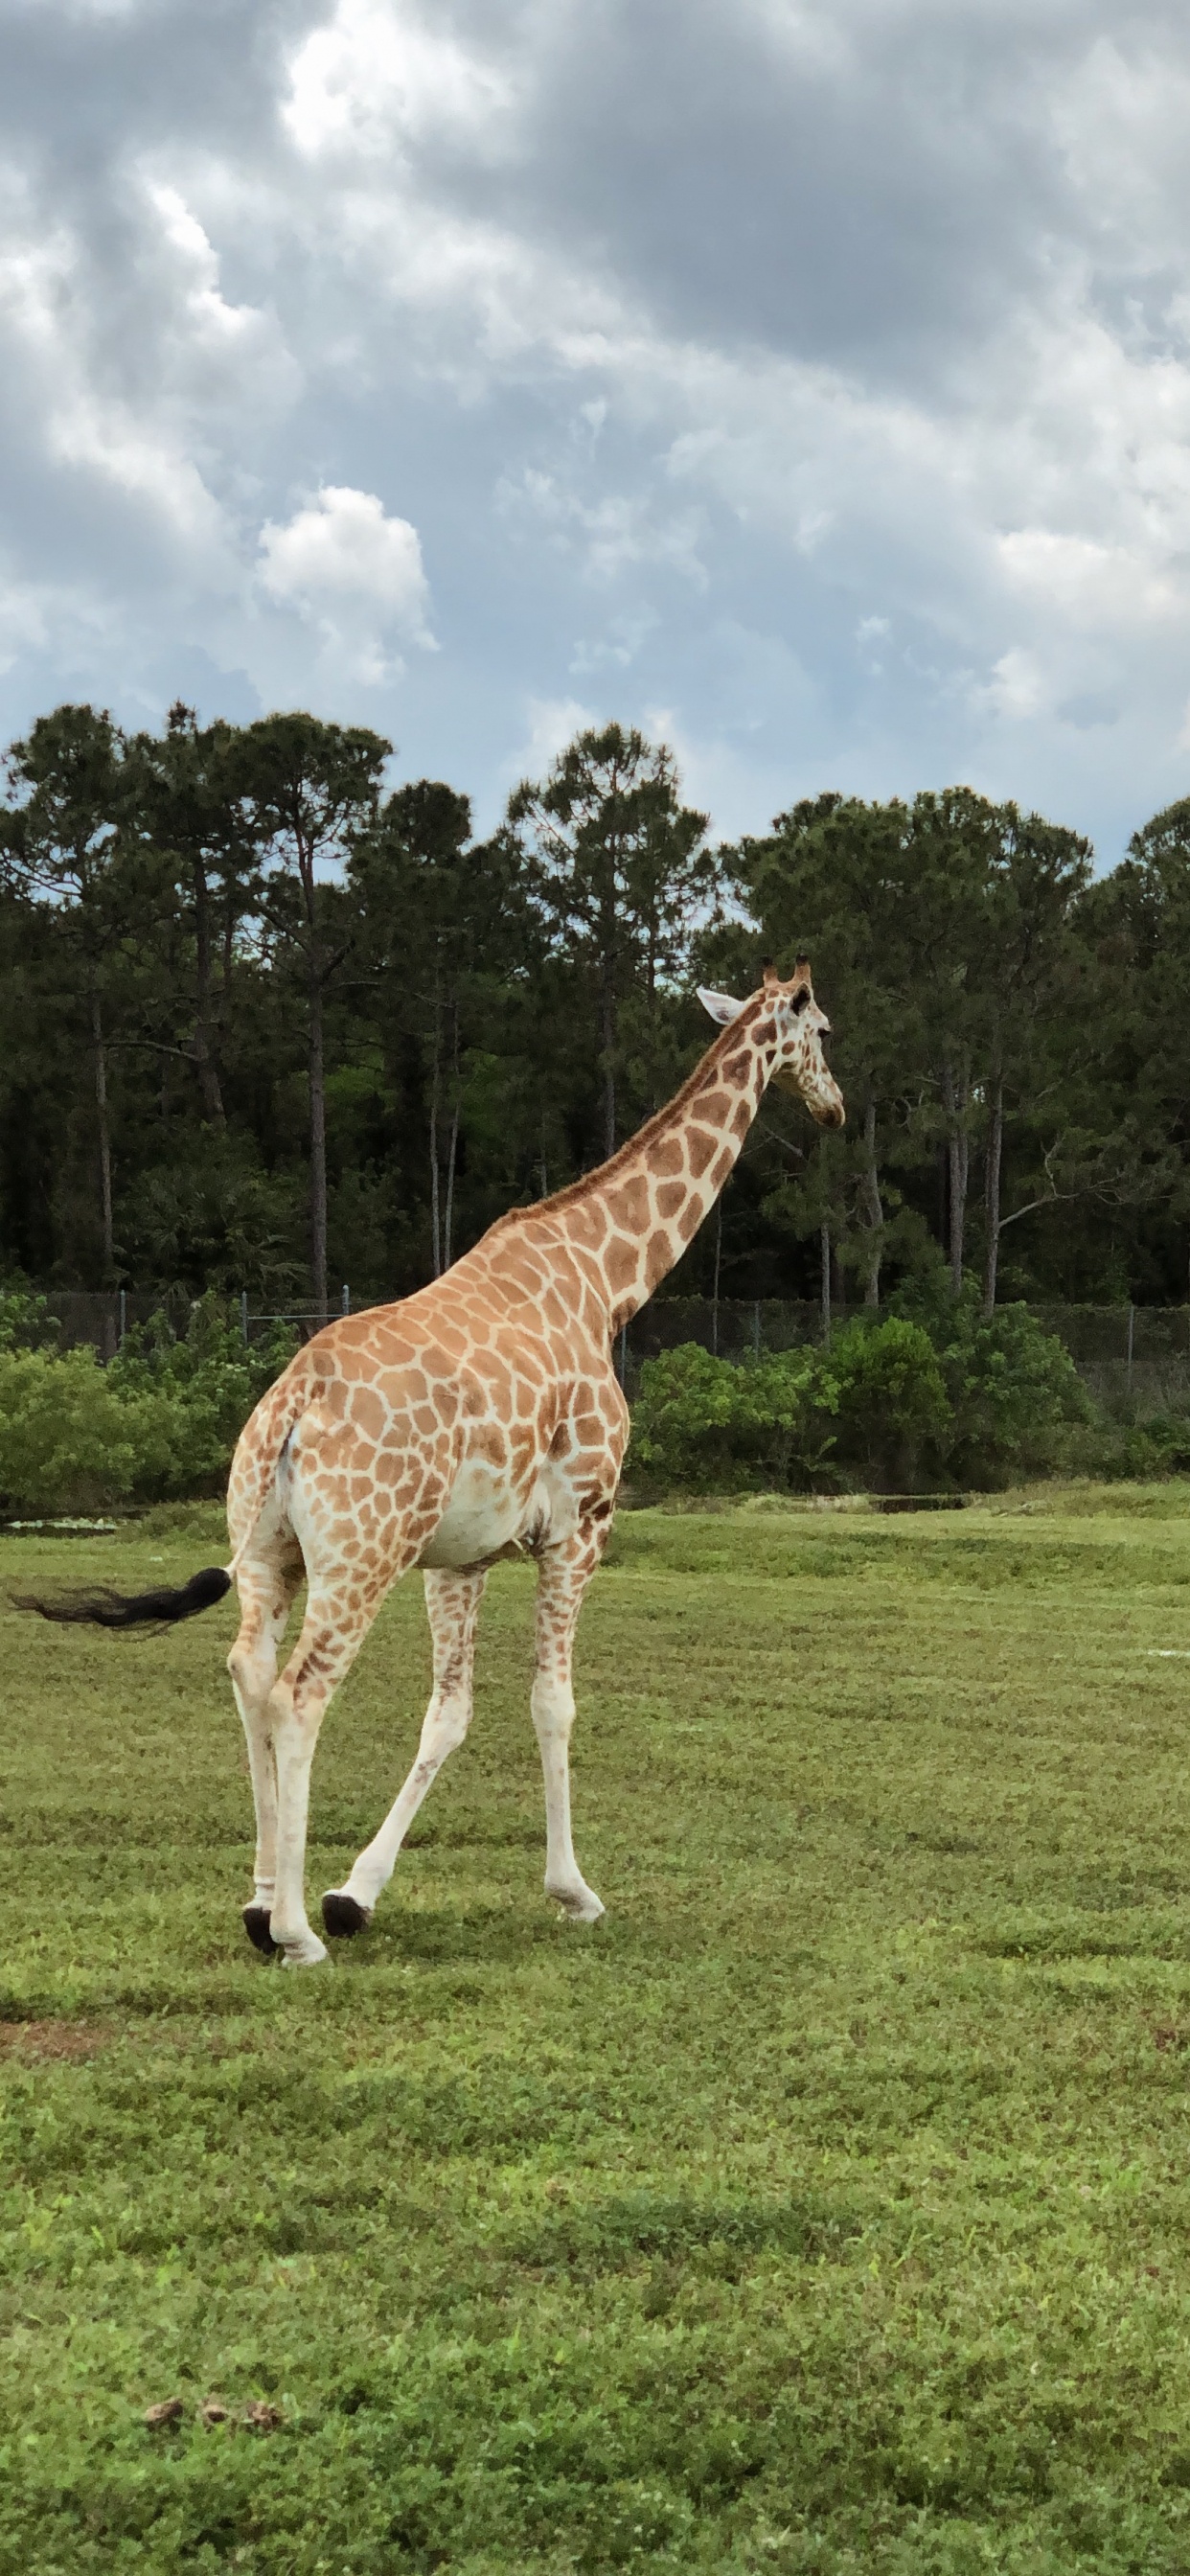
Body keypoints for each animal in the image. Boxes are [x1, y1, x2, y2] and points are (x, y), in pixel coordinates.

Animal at [22, 964, 843, 1966]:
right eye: (824, 1034)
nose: (836, 1108)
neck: (607, 1281)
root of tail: (292, 1408)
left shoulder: (461, 1555)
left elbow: (449, 1711)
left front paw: (355, 1891)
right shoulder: (581, 1525)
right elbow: (552, 1703)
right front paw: (572, 1891)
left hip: (270, 1550)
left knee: (249, 1673)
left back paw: (261, 1903)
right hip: (361, 1556)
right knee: (299, 1695)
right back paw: (295, 1934)